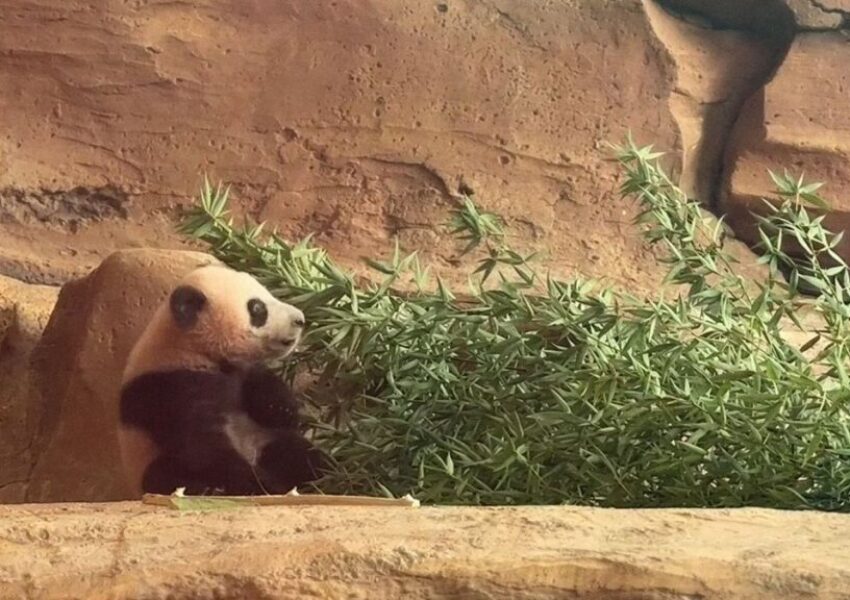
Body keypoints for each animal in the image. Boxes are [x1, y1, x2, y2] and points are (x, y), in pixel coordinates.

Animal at [117, 263, 326, 497]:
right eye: (257, 308)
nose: (300, 319)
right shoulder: (172, 388)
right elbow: (203, 448)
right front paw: (265, 486)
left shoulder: (239, 372)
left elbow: (263, 388)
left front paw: (284, 408)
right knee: (162, 473)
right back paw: (207, 489)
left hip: (263, 440)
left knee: (296, 451)